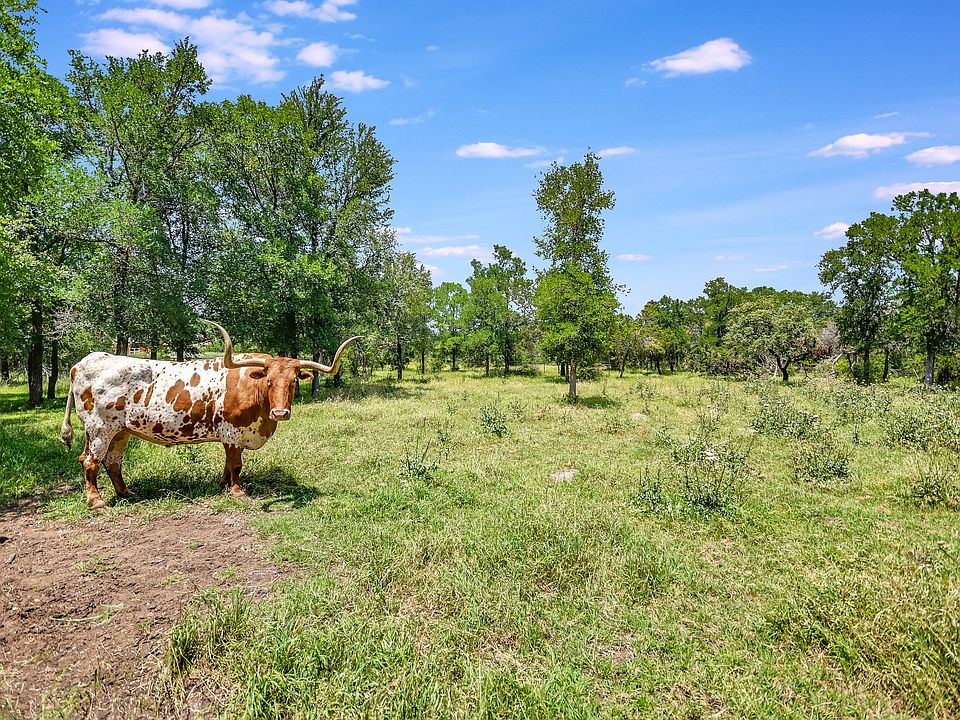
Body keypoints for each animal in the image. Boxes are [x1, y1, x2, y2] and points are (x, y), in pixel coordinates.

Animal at [61, 324, 360, 510]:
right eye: (269, 382)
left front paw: (223, 486)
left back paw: (126, 493)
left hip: (120, 431)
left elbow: (228, 465)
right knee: (90, 461)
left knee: (113, 463)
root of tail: (81, 364)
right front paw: (238, 492)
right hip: (99, 429)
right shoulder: (233, 431)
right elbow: (236, 465)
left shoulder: (233, 436)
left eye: (293, 381)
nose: (280, 412)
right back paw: (96, 501)